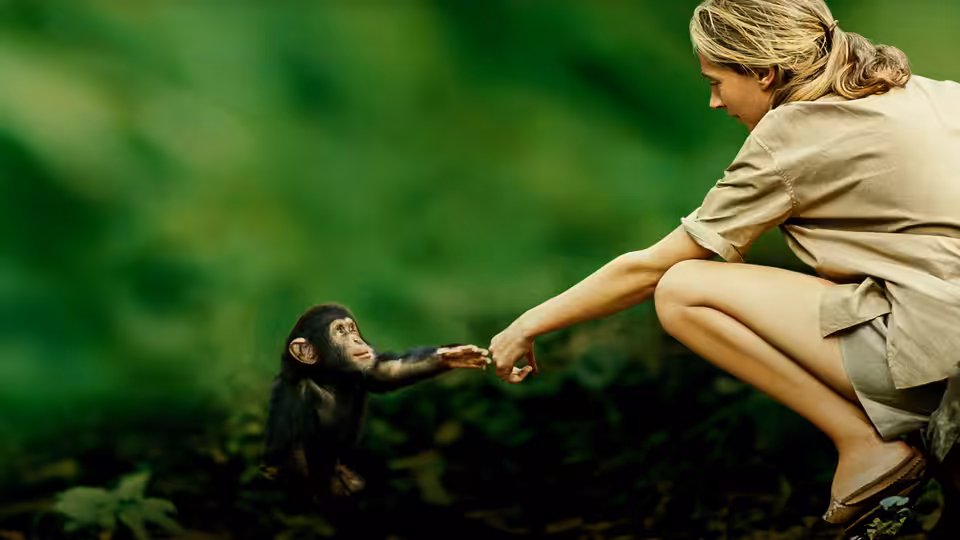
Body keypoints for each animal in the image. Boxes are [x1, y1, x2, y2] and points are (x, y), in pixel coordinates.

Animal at [260, 303, 490, 500]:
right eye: (340, 331)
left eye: (351, 329)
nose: (356, 340)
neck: (327, 378)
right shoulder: (293, 396)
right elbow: (294, 454)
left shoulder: (363, 372)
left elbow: (387, 371)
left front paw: (451, 355)